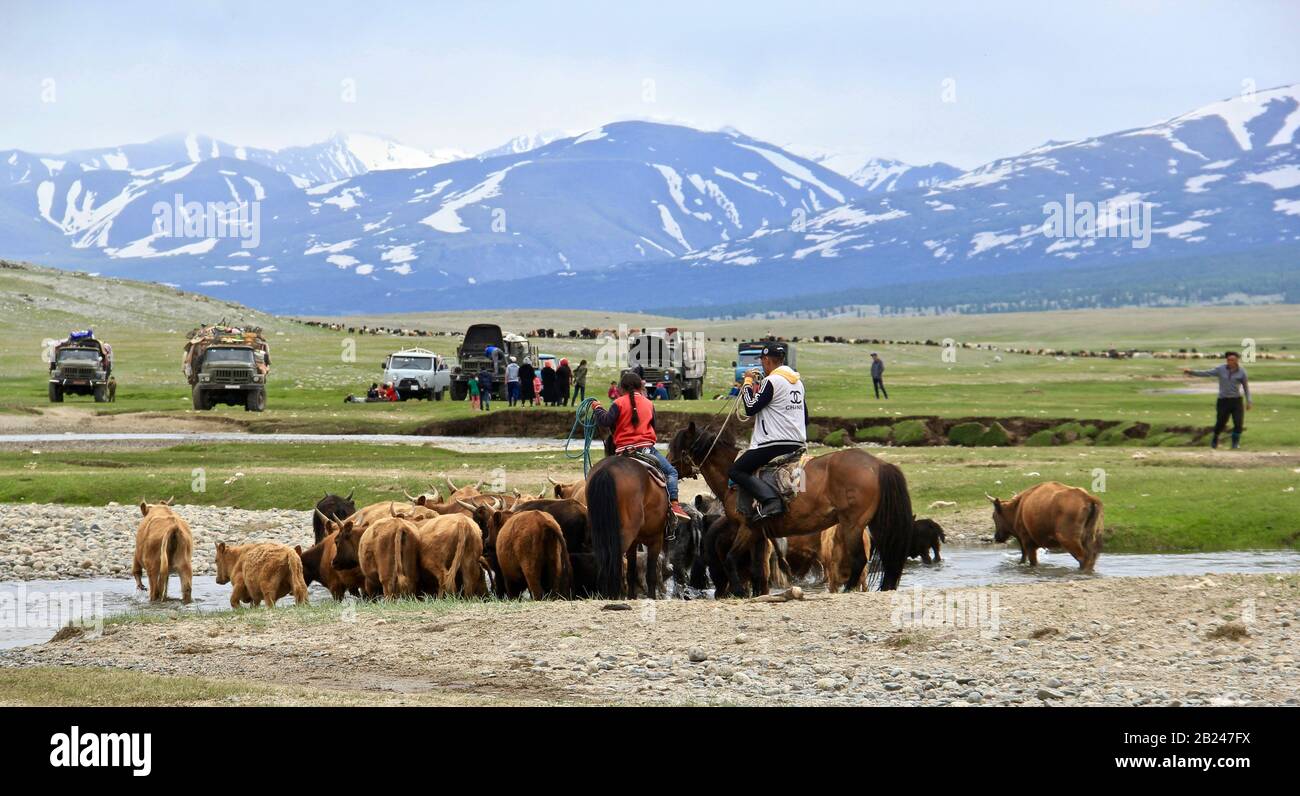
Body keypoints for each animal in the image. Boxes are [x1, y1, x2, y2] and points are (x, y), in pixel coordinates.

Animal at [587, 455, 670, 598]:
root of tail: (606, 470)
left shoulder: (634, 543)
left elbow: (631, 571)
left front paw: (632, 596)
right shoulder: (656, 539)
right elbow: (651, 574)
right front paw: (651, 596)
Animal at [670, 418, 915, 593]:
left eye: (677, 447)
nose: (669, 467)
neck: (733, 478)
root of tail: (877, 464)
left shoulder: (747, 528)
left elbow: (730, 558)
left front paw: (739, 590)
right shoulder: (758, 533)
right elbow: (758, 571)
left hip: (853, 524)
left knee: (860, 560)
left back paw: (848, 589)